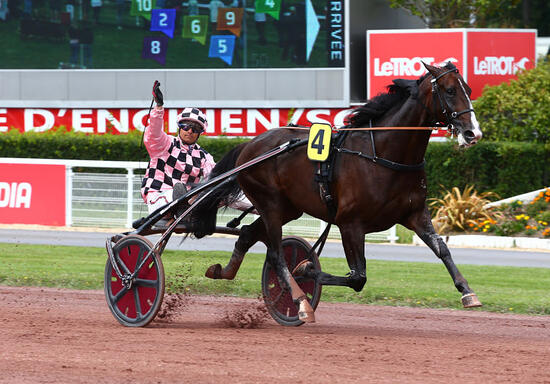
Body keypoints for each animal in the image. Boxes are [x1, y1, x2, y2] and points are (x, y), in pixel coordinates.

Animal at [194, 62, 484, 320]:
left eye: (468, 89)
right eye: (449, 90)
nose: (474, 133)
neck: (383, 155)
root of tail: (249, 145)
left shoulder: (415, 214)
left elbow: (442, 249)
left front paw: (467, 292)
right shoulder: (350, 223)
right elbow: (357, 277)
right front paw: (305, 268)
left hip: (288, 208)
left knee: (247, 234)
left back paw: (221, 271)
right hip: (270, 204)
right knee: (275, 254)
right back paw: (300, 300)